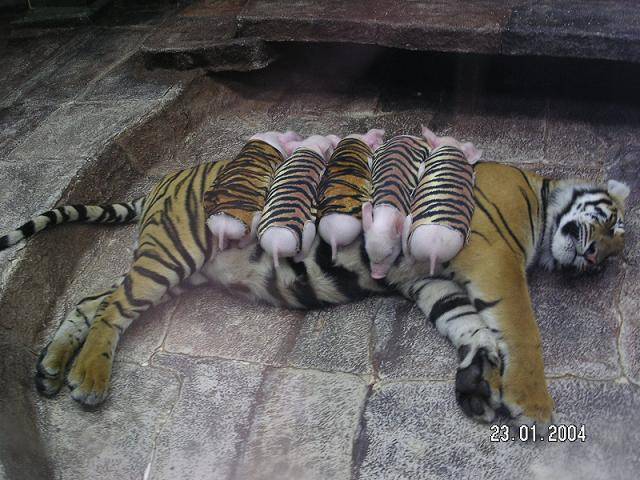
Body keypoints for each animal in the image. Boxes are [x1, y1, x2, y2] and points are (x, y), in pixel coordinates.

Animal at [0, 160, 629, 427]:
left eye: (610, 256)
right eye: (614, 226)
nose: (594, 260)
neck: (541, 198)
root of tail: (167, 178)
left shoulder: (431, 281)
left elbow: (470, 327)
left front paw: (478, 382)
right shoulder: (493, 259)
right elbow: (521, 328)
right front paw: (534, 405)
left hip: (176, 267)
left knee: (93, 300)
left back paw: (52, 369)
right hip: (173, 251)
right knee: (111, 308)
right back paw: (88, 379)